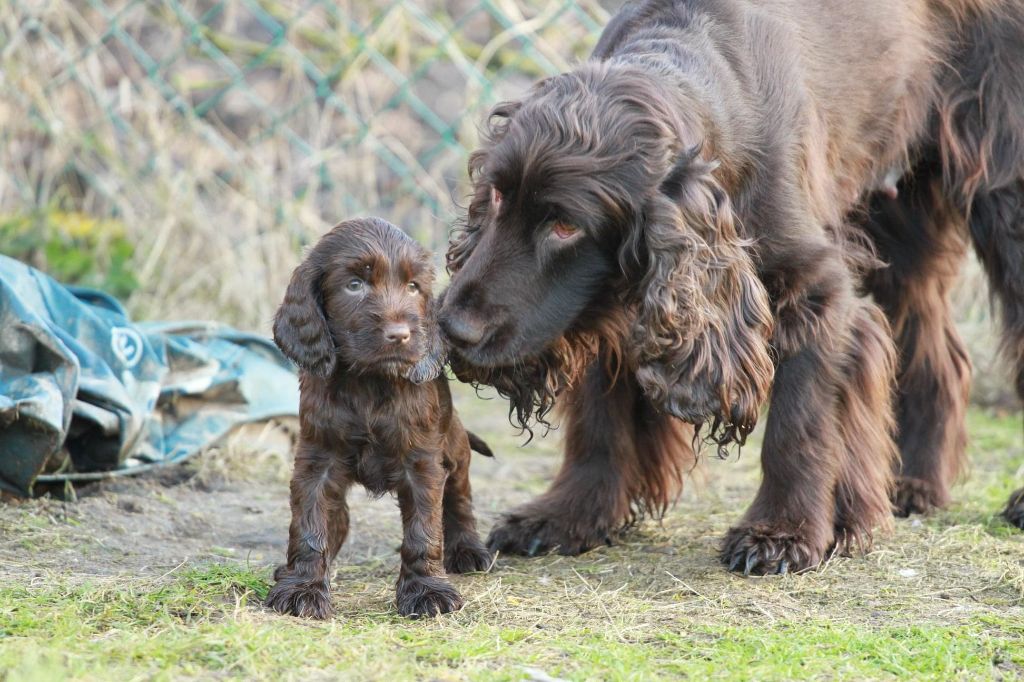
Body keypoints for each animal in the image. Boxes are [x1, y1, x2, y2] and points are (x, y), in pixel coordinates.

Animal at [266, 216, 493, 614]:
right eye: (354, 285)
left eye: (413, 286)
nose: (399, 335)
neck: (370, 383)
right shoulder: (317, 459)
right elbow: (309, 524)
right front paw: (302, 587)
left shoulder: (422, 462)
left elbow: (423, 531)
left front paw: (427, 591)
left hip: (454, 450)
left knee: (460, 498)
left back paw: (468, 549)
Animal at [438, 0, 1024, 573]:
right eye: (496, 196)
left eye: (565, 226)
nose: (451, 329)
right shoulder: (601, 295)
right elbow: (599, 417)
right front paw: (568, 515)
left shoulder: (816, 288)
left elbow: (800, 422)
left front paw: (783, 533)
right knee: (939, 353)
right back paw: (915, 485)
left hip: (1000, 191)